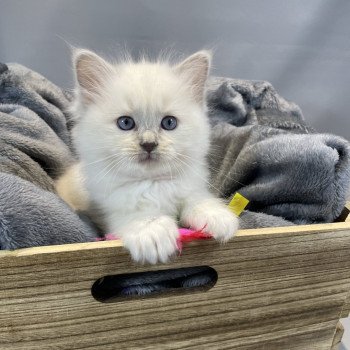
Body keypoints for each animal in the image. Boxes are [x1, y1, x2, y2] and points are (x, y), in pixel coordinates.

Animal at [58, 48, 239, 262]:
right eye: (125, 123)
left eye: (169, 123)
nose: (149, 144)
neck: (153, 183)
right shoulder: (109, 208)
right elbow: (138, 216)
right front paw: (152, 231)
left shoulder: (190, 186)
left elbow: (196, 199)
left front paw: (216, 215)